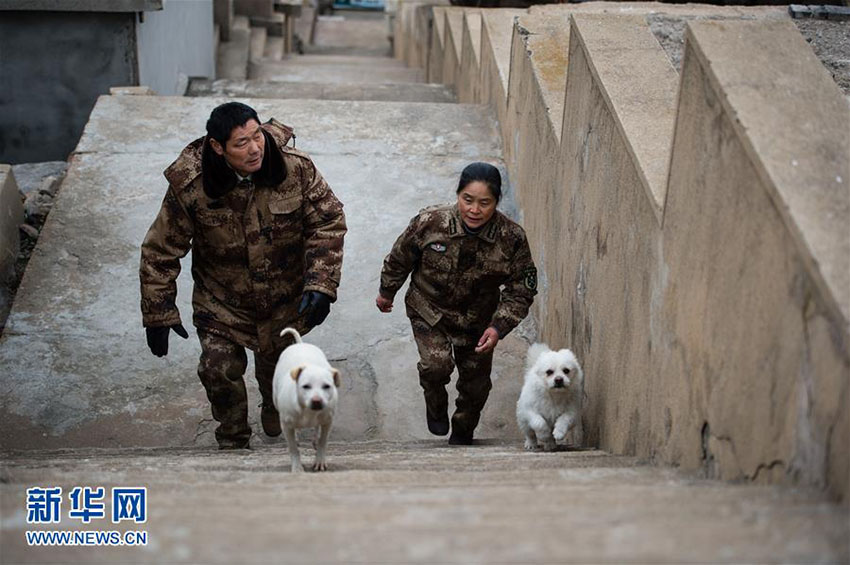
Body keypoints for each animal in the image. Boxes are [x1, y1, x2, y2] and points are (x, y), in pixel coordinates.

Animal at [272, 326, 338, 472]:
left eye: (327, 386)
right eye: (305, 386)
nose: (317, 401)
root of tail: (300, 345)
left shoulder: (328, 420)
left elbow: (323, 441)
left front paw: (319, 461)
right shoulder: (286, 425)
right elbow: (293, 448)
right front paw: (297, 468)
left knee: (317, 429)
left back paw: (314, 440)